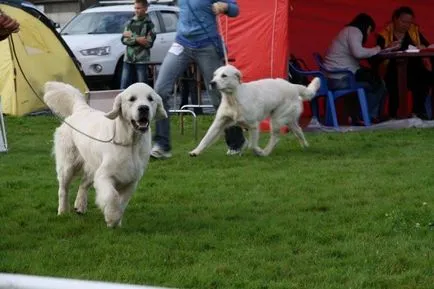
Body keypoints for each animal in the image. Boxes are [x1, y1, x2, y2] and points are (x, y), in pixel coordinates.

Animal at [43, 81, 166, 227]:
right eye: (132, 99)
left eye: (150, 99)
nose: (143, 108)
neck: (130, 142)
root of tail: (81, 108)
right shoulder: (104, 175)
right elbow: (112, 196)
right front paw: (112, 218)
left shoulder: (131, 180)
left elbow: (122, 202)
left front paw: (117, 221)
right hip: (68, 165)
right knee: (63, 189)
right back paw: (62, 211)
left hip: (92, 165)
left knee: (83, 184)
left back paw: (80, 206)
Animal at [188, 65, 320, 156]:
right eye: (214, 75)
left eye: (224, 76)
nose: (212, 83)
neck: (233, 99)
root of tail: (293, 86)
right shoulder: (219, 123)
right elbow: (205, 138)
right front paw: (195, 152)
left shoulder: (253, 125)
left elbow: (252, 145)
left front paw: (258, 151)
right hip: (288, 120)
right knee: (299, 131)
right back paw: (305, 146)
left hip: (277, 120)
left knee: (275, 138)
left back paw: (265, 152)